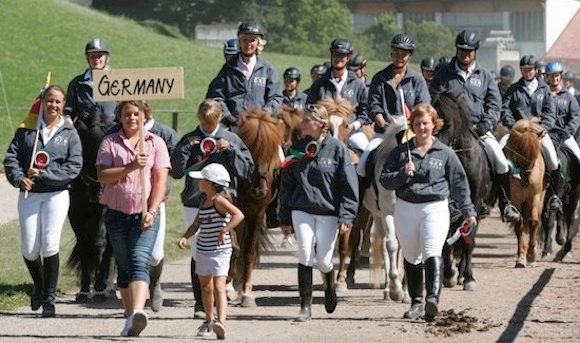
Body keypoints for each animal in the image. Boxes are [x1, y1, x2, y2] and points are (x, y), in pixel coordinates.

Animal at [231, 107, 286, 306]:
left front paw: (247, 292)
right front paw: (228, 288)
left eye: (271, 153)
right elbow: (235, 248)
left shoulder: (257, 214)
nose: (259, 191)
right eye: (249, 149)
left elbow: (248, 252)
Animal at [502, 119, 548, 268]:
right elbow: (519, 225)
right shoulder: (516, 198)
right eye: (518, 154)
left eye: (535, 157)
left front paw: (531, 256)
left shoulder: (535, 196)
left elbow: (533, 222)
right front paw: (521, 258)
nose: (525, 183)